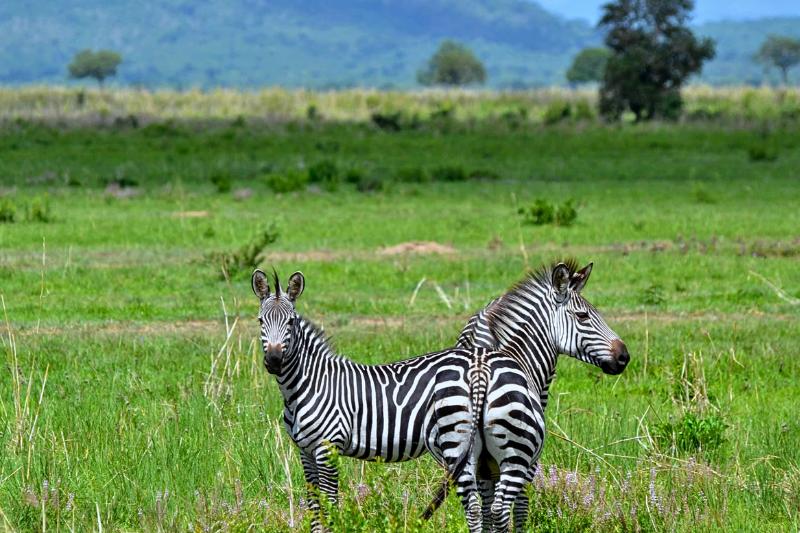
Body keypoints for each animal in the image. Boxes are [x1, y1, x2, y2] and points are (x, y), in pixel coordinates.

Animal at [252, 270, 544, 532]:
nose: (274, 361)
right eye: (260, 321)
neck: (307, 385)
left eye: (291, 323)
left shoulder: (328, 447)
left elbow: (331, 503)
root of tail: (479, 360)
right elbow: (315, 505)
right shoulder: (306, 450)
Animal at [424, 260, 632, 528]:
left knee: (474, 508)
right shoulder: (529, 461)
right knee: (501, 508)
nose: (624, 356)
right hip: (514, 454)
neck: (517, 354)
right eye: (583, 316)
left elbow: (486, 508)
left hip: (461, 453)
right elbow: (521, 505)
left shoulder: (485, 467)